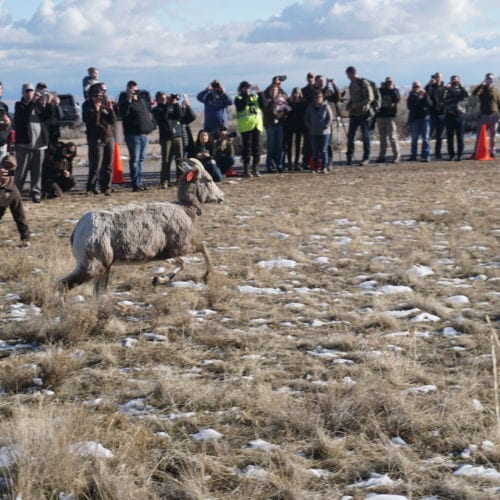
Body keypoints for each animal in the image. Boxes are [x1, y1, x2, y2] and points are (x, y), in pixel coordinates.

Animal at [58, 158, 223, 294]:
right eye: (208, 180)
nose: (222, 197)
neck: (185, 209)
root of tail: (78, 230)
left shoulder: (164, 254)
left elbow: (181, 263)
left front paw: (158, 280)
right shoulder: (181, 246)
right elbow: (203, 248)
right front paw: (207, 276)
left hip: (103, 267)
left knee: (99, 292)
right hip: (92, 266)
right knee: (63, 285)